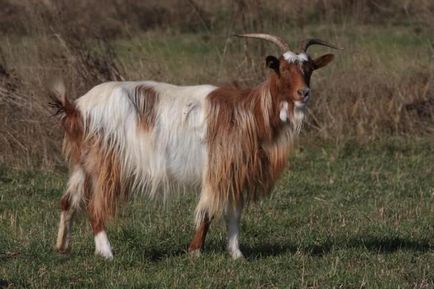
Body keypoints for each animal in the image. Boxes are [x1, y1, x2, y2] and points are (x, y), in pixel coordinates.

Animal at [51, 32, 340, 258]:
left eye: (309, 69)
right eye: (282, 68)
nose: (304, 93)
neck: (250, 112)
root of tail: (76, 107)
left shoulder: (236, 170)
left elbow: (234, 214)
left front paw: (236, 254)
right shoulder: (220, 166)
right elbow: (208, 211)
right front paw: (195, 250)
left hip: (83, 162)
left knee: (67, 200)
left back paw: (62, 247)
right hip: (107, 162)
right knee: (95, 206)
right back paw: (107, 253)